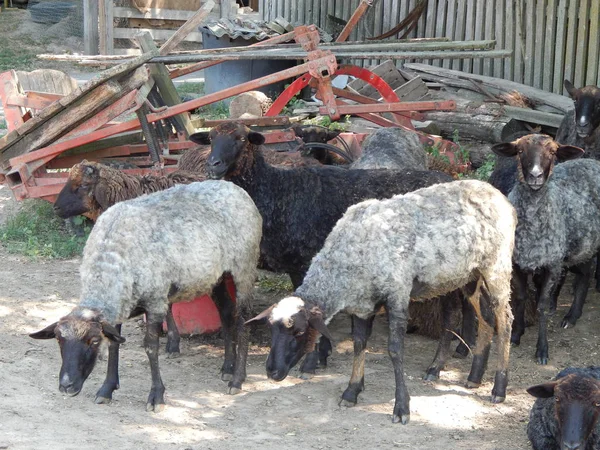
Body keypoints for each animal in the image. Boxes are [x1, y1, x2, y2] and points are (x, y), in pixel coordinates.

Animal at [29, 181, 260, 414]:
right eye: (59, 339)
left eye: (93, 341)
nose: (66, 385)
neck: (108, 263)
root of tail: (233, 187)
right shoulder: (120, 308)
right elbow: (114, 345)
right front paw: (107, 389)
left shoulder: (156, 302)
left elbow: (150, 347)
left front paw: (156, 395)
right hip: (216, 275)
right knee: (226, 311)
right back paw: (227, 367)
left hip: (245, 267)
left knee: (243, 319)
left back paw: (237, 379)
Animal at [248, 180, 516, 426]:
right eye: (272, 330)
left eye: (299, 331)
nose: (271, 371)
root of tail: (500, 197)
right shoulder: (363, 305)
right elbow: (358, 343)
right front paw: (352, 391)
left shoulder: (397, 294)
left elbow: (395, 350)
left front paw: (402, 407)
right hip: (468, 276)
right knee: (485, 317)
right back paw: (472, 376)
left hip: (497, 267)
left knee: (504, 321)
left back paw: (498, 389)